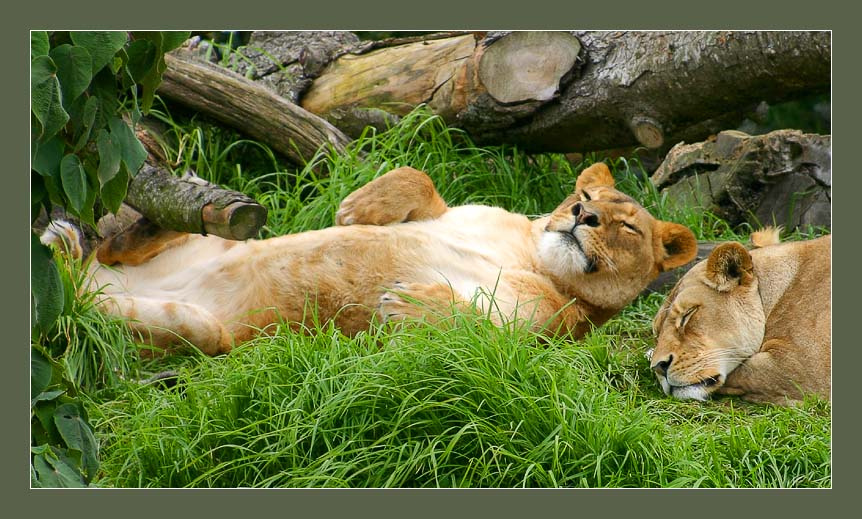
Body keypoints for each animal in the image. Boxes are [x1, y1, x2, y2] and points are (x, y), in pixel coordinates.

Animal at [42, 163, 697, 356]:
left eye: (626, 225)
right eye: (582, 196)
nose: (582, 217)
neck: (530, 254)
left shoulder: (543, 335)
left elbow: (477, 330)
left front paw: (408, 304)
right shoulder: (456, 210)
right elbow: (420, 179)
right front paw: (356, 209)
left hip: (201, 333)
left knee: (78, 311)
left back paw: (66, 258)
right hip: (215, 239)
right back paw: (98, 232)